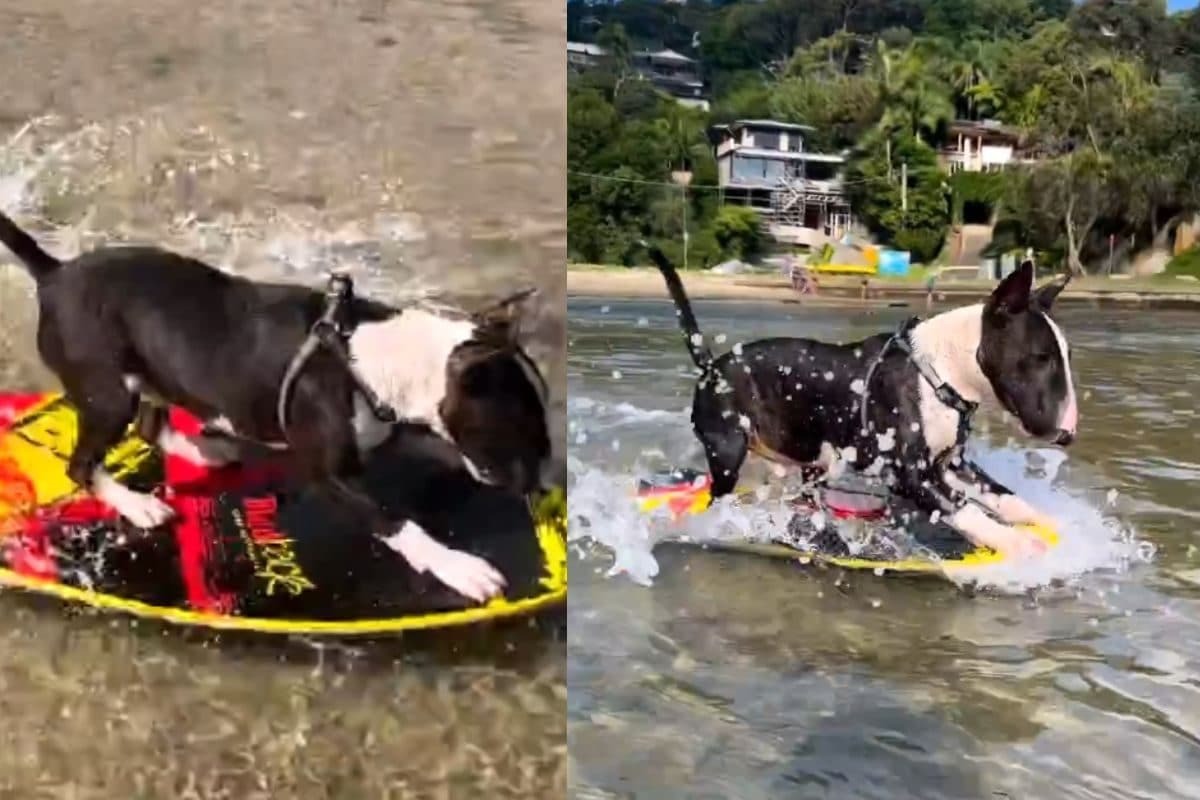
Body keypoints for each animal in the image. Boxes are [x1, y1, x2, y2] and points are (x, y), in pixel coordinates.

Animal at [0, 211, 552, 599]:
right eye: (521, 424)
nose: (543, 486)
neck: (375, 356)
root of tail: (54, 274)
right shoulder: (332, 476)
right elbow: (397, 522)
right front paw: (459, 567)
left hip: (151, 374)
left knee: (150, 424)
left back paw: (208, 451)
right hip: (108, 393)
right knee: (83, 463)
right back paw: (138, 505)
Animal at [652, 247, 1084, 561]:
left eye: (1066, 355)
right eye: (1041, 357)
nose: (1067, 434)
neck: (939, 373)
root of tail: (710, 366)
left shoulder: (951, 465)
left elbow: (1001, 496)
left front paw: (1050, 523)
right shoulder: (907, 474)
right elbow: (963, 509)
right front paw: (1018, 543)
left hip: (810, 458)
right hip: (728, 450)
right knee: (718, 496)